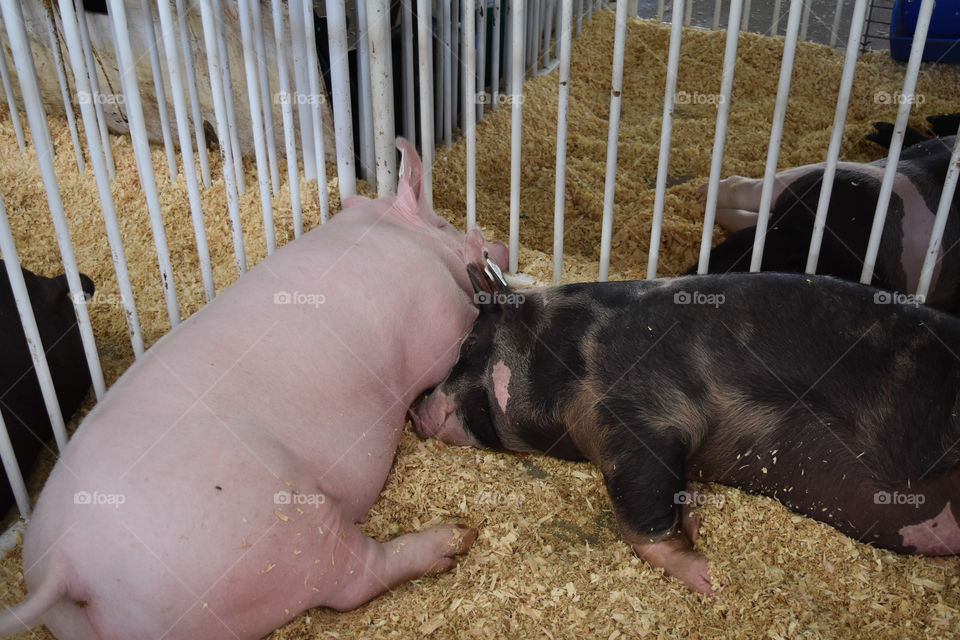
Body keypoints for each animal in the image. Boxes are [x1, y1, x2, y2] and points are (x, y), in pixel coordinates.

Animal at [412, 240, 960, 596]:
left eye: (466, 348)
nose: (415, 408)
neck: (569, 355)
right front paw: (696, 513)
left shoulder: (637, 414)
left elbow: (642, 516)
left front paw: (711, 579)